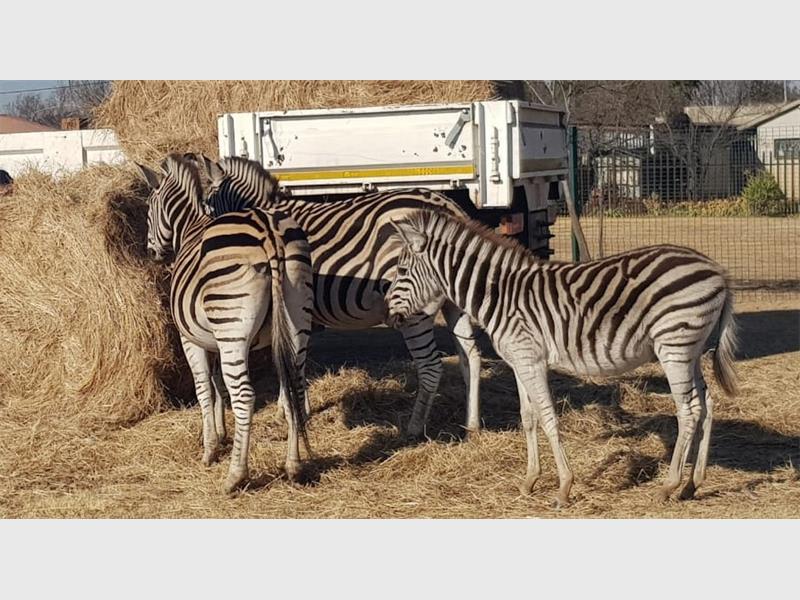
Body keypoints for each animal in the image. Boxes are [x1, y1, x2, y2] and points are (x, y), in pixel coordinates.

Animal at [134, 154, 314, 494]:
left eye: (149, 210)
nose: (152, 252)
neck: (191, 227)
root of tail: (268, 232)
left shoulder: (192, 339)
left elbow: (204, 388)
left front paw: (210, 448)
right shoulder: (214, 338)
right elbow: (219, 386)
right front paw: (220, 432)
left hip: (233, 330)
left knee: (244, 395)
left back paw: (235, 475)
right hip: (296, 321)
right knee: (294, 386)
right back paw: (294, 466)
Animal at [191, 154, 483, 439]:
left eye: (207, 205)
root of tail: (447, 205)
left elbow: (288, 360)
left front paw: (288, 410)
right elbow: (296, 359)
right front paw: (296, 408)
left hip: (415, 306)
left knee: (431, 365)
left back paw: (414, 427)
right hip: (455, 300)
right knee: (471, 356)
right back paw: (471, 425)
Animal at [385, 210, 739, 507]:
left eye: (401, 270)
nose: (390, 315)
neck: (499, 295)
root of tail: (718, 272)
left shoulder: (531, 358)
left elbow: (548, 417)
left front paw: (564, 486)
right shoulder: (520, 360)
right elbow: (528, 417)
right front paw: (529, 480)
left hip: (674, 347)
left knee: (688, 410)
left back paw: (669, 486)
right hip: (690, 351)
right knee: (707, 404)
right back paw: (693, 484)